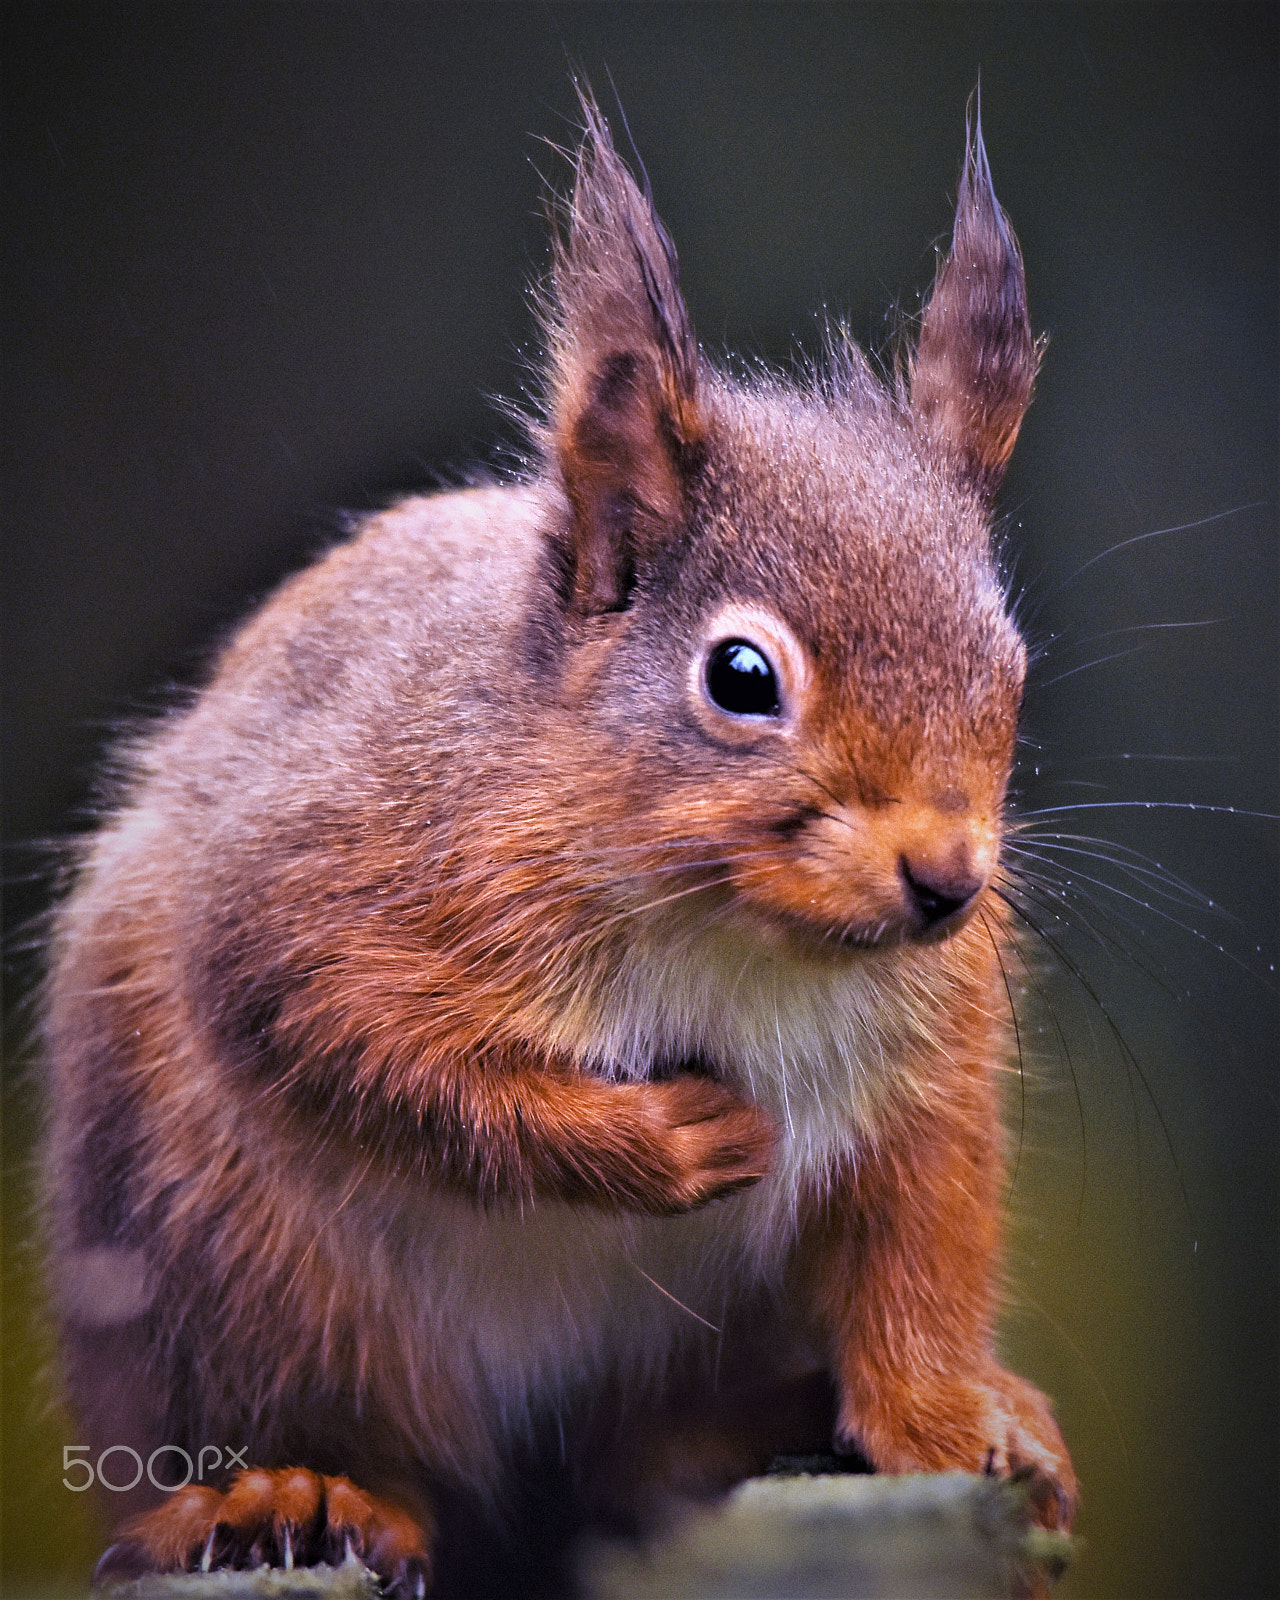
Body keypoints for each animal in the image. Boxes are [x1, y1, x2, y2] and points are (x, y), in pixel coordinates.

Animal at [45, 96, 1075, 1587]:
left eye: (1010, 661)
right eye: (743, 677)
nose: (947, 881)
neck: (730, 932)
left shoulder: (923, 1072)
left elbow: (914, 1269)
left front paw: (954, 1420)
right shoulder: (315, 885)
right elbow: (365, 1049)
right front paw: (667, 1141)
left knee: (639, 1454)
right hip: (221, 1268)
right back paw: (292, 1492)